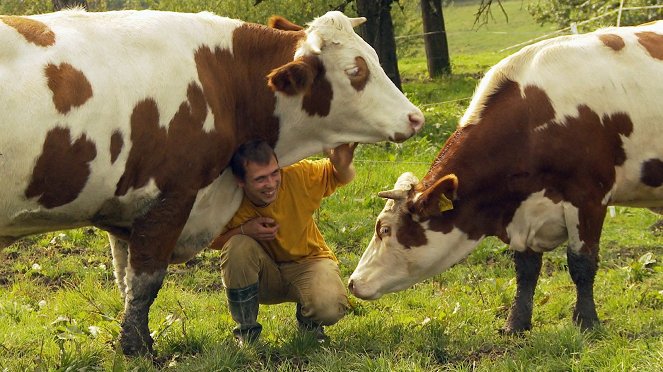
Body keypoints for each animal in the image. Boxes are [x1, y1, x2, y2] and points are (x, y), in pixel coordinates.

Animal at [0, 10, 426, 356]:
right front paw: (140, 350)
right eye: (356, 71)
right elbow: (144, 283)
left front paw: (131, 342)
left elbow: (124, 282)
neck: (223, 81)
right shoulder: (172, 197)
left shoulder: (122, 211)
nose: (415, 117)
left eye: (373, 57)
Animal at [348, 20, 663, 334]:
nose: (353, 282)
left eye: (384, 229)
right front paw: (516, 323)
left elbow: (581, 263)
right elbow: (526, 269)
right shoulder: (522, 212)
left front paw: (586, 321)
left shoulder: (588, 197)